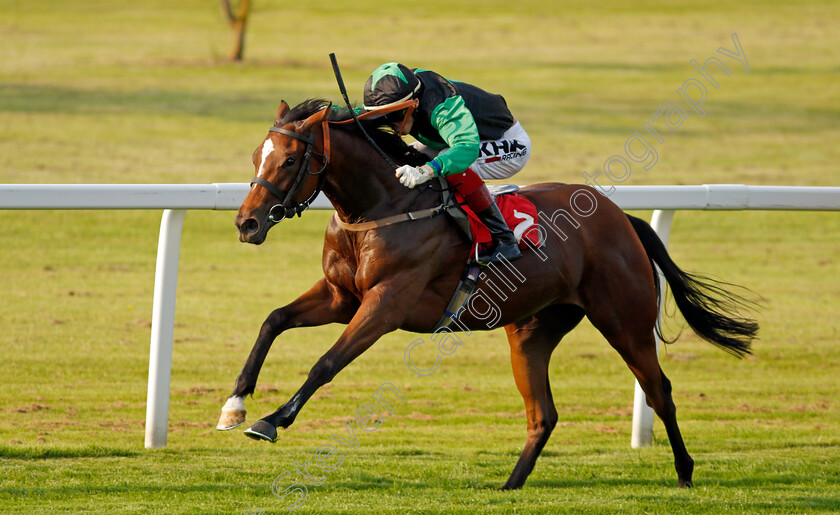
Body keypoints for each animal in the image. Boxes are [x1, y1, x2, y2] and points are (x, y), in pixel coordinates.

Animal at [215, 99, 756, 490]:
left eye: (289, 158)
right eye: (256, 156)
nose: (247, 223)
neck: (382, 207)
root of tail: (621, 217)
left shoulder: (386, 304)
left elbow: (325, 363)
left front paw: (272, 419)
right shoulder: (339, 296)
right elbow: (273, 319)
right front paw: (235, 403)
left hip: (625, 320)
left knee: (659, 390)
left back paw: (685, 472)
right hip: (532, 330)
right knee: (543, 414)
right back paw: (510, 485)